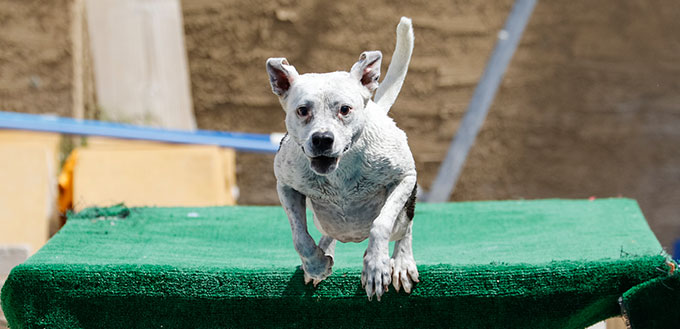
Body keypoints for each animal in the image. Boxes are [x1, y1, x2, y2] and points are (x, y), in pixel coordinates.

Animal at [266, 17, 418, 300]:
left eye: (345, 109)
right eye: (302, 110)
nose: (322, 139)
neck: (340, 173)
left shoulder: (404, 177)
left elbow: (381, 224)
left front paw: (376, 266)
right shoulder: (286, 186)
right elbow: (299, 236)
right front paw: (316, 264)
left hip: (403, 215)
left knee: (404, 229)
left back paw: (401, 262)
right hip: (323, 218)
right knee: (327, 232)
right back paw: (325, 250)